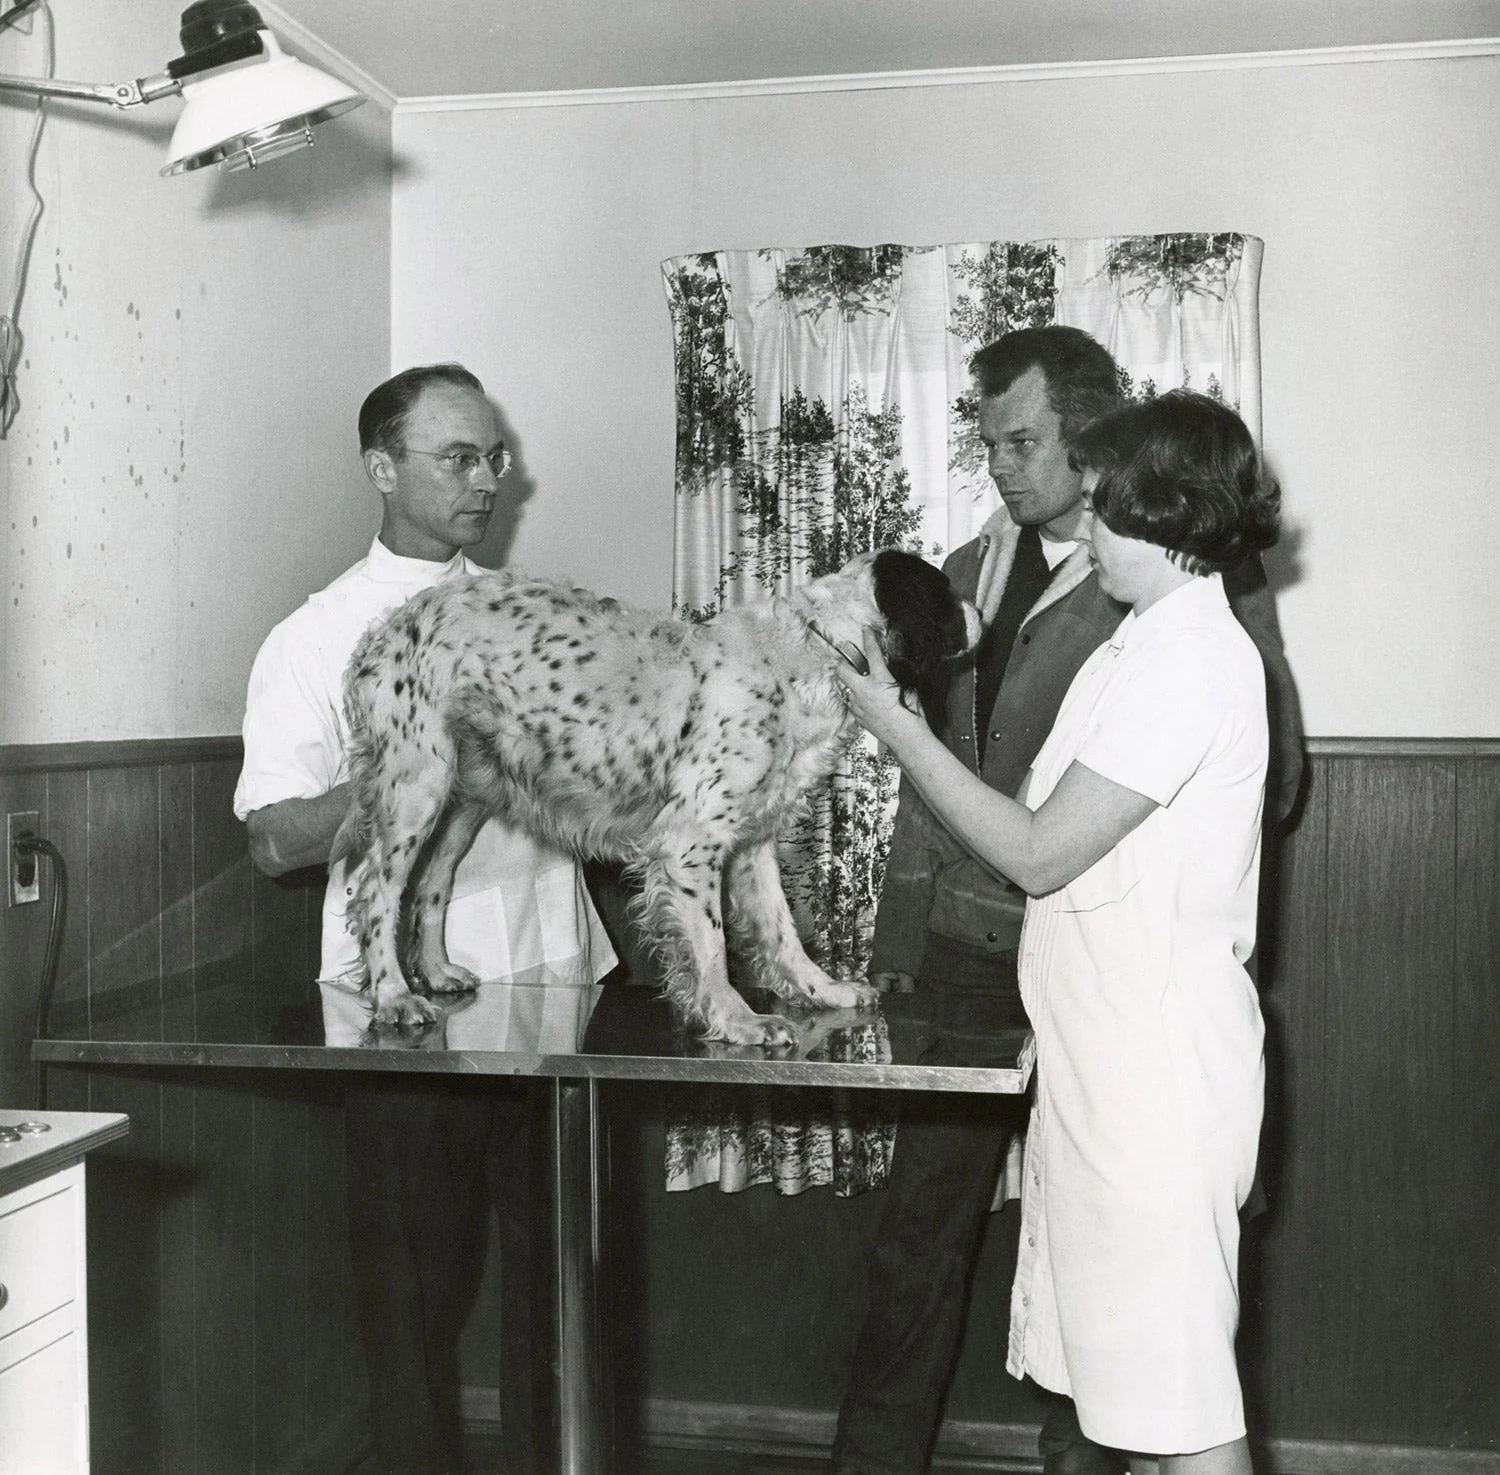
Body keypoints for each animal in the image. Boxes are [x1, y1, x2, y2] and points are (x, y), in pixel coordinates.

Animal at [337, 552, 984, 1050]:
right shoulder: (690, 845)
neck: (803, 651)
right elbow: (714, 946)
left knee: (431, 883)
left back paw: (436, 971)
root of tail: (387, 628)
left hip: (465, 798)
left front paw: (823, 989)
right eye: (945, 594)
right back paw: (394, 995)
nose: (982, 615)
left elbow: (781, 931)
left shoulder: (751, 843)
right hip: (416, 785)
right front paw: (738, 1020)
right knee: (377, 891)